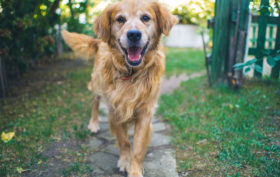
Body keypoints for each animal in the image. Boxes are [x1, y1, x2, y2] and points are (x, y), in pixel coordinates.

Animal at [62, 0, 176, 176]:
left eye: (145, 18)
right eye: (120, 19)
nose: (134, 34)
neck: (132, 74)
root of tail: (99, 40)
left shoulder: (145, 112)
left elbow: (137, 148)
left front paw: (134, 170)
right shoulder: (115, 110)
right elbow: (124, 141)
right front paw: (124, 162)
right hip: (97, 84)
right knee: (94, 103)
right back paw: (93, 124)